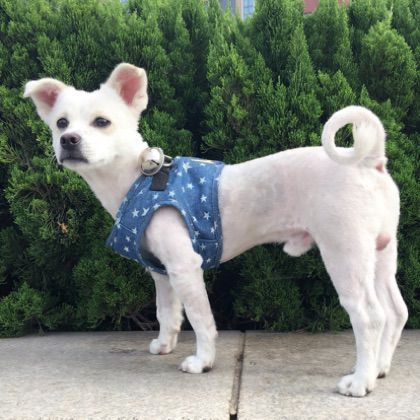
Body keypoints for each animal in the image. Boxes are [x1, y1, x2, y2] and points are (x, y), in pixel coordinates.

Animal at [24, 63, 408, 397]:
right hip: (381, 256)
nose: (69, 140)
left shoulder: (185, 267)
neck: (138, 178)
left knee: (370, 317)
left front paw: (202, 361)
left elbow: (200, 318)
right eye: (60, 122)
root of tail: (369, 160)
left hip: (346, 256)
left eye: (102, 121)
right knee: (395, 312)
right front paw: (165, 345)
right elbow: (167, 313)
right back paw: (380, 369)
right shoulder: (162, 274)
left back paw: (360, 381)